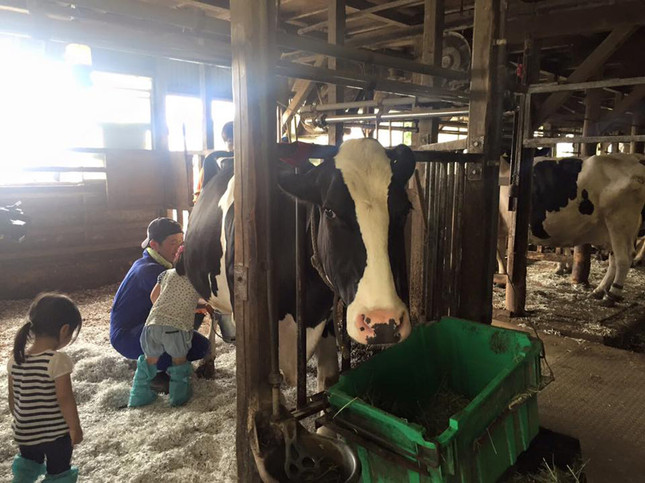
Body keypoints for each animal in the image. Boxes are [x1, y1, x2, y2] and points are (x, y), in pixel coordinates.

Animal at [182, 138, 412, 392]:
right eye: (330, 211)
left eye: (404, 210)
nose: (383, 323)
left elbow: (329, 378)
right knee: (209, 311)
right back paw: (207, 362)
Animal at [498, 154, 644, 306]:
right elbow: (500, 250)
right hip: (612, 230)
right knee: (614, 259)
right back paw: (599, 291)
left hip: (619, 224)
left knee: (624, 258)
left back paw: (612, 295)